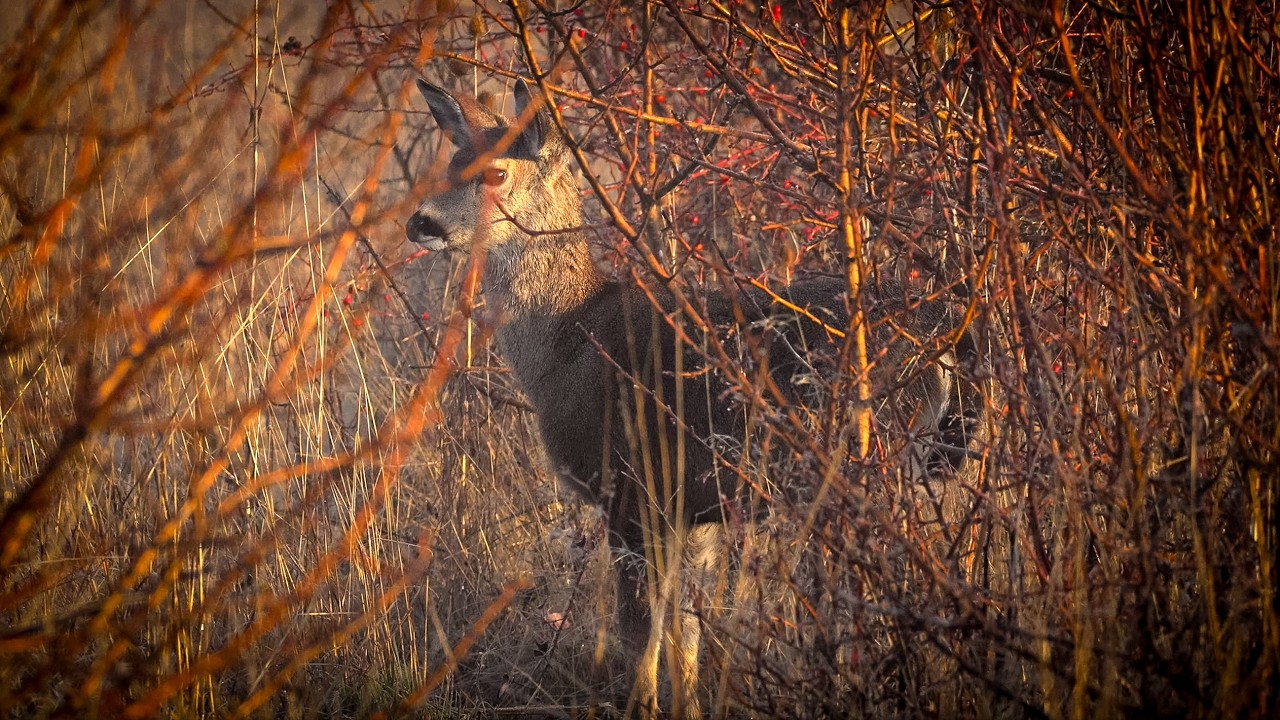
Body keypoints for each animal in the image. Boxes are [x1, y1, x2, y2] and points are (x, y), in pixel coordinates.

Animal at [406, 76, 984, 718]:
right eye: (452, 161)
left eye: (497, 173)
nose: (420, 222)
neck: (569, 341)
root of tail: (942, 336)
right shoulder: (696, 510)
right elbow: (685, 636)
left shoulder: (631, 488)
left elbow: (641, 635)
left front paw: (641, 705)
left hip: (862, 462)